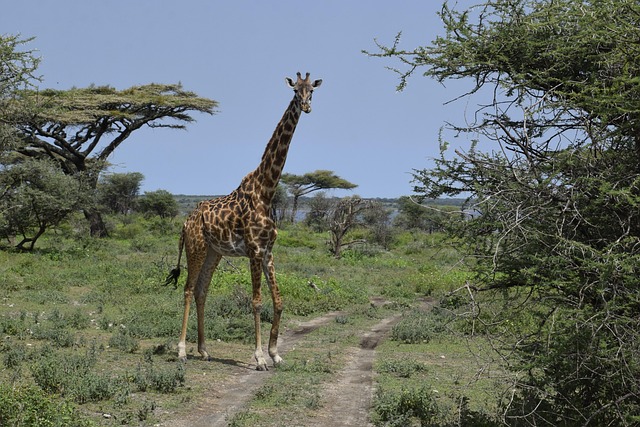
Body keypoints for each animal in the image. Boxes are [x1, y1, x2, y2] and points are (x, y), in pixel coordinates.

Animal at [165, 72, 322, 370]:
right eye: (295, 91)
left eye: (313, 91)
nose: (307, 107)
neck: (267, 189)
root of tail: (185, 222)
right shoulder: (254, 250)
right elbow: (257, 301)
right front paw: (260, 358)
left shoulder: (268, 251)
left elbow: (278, 300)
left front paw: (276, 354)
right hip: (196, 248)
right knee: (189, 290)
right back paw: (181, 351)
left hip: (213, 252)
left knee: (202, 291)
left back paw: (204, 350)